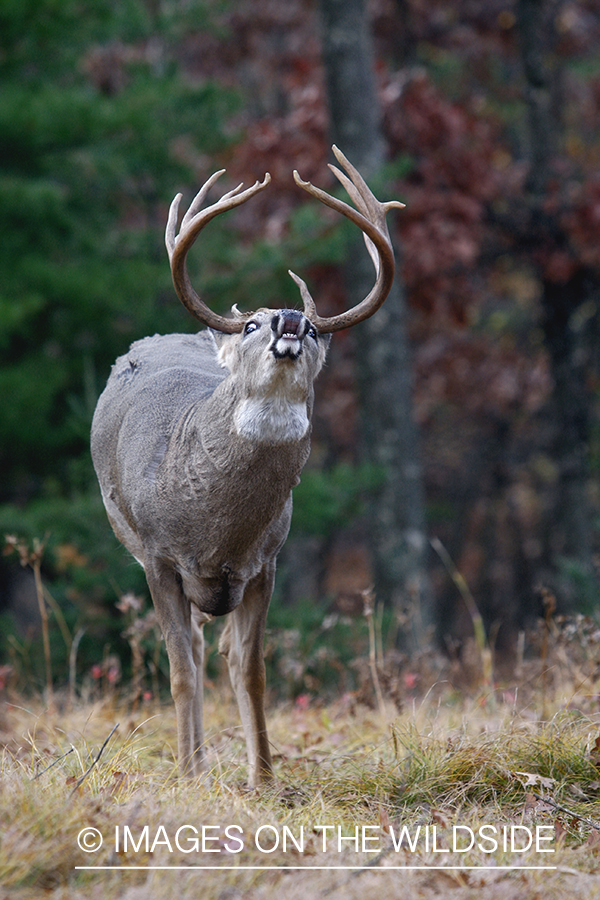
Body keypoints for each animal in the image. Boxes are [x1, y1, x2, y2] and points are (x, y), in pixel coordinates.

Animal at [90, 144, 404, 784]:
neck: (216, 529)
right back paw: (196, 763)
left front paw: (265, 779)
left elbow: (251, 671)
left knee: (216, 652)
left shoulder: (266, 560)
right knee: (190, 653)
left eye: (316, 331)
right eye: (254, 323)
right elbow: (180, 672)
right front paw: (189, 777)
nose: (290, 319)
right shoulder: (158, 555)